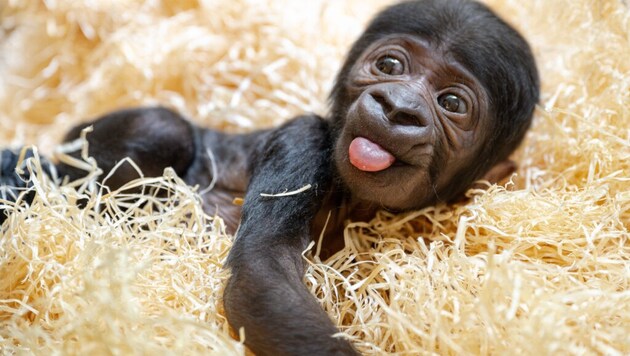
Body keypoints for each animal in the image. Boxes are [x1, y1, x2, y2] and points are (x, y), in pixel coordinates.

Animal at [1, 0, 544, 354]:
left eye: (451, 102)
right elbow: (262, 273)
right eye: (391, 64)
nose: (397, 106)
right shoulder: (303, 140)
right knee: (155, 129)